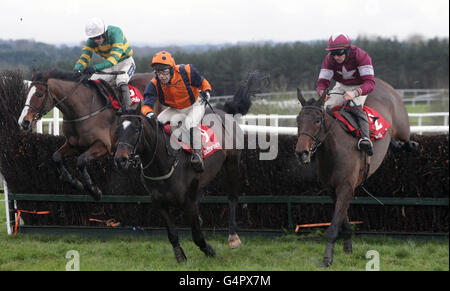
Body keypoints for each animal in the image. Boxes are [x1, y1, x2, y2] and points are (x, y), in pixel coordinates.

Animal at [17, 70, 158, 201]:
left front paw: (93, 190)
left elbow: (81, 160)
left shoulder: (104, 146)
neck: (83, 111)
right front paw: (75, 183)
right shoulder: (73, 144)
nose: (23, 122)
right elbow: (56, 157)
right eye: (26, 93)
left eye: (39, 94)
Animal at [114, 72, 266, 264]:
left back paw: (233, 237)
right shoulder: (159, 202)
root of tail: (224, 111)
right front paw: (180, 256)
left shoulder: (187, 201)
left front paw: (209, 250)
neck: (164, 163)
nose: (120, 159)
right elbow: (172, 234)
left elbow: (197, 236)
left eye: (135, 129)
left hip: (232, 162)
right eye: (118, 130)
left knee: (232, 197)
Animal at [296, 78, 418, 270]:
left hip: (402, 127)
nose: (302, 153)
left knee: (406, 139)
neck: (335, 150)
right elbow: (343, 219)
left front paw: (326, 259)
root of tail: (382, 83)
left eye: (317, 120)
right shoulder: (333, 189)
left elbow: (333, 226)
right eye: (297, 120)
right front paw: (347, 248)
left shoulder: (345, 187)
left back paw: (410, 145)